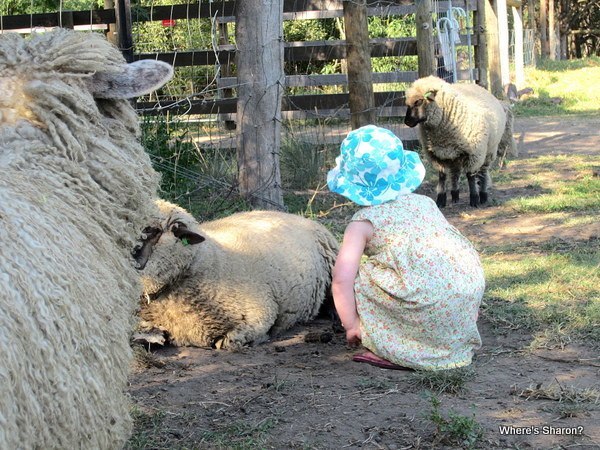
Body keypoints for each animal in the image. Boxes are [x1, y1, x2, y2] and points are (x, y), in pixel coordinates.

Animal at [406, 75, 516, 207]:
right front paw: (440, 199)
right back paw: (455, 195)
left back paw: (483, 195)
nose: (407, 122)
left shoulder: (474, 153)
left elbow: (470, 176)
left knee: (483, 171)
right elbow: (442, 176)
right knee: (455, 172)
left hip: (489, 150)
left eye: (419, 101)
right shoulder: (437, 154)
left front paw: (474, 199)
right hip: (455, 154)